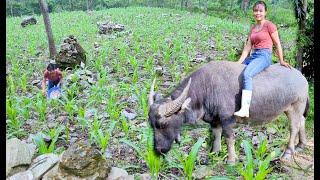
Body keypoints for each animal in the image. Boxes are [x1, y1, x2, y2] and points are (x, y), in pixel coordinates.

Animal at [149, 60, 308, 165]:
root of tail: (301, 77)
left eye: (163, 125)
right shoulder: (214, 120)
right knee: (301, 121)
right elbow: (216, 134)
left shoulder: (227, 120)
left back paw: (288, 152)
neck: (206, 87)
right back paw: (302, 144)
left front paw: (231, 160)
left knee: (293, 127)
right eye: (151, 125)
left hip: (296, 106)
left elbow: (229, 138)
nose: (159, 149)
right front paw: (214, 153)